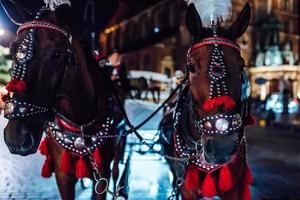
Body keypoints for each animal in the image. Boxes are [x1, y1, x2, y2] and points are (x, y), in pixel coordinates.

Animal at [2, 3, 124, 200]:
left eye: (57, 53)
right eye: (13, 50)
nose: (16, 138)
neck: (79, 124)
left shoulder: (102, 173)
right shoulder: (63, 174)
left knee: (116, 172)